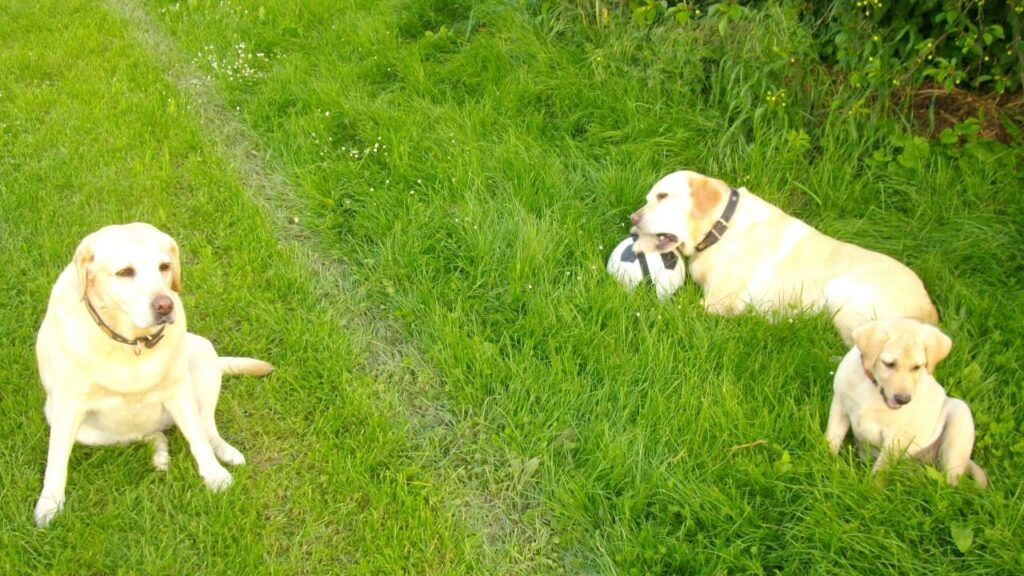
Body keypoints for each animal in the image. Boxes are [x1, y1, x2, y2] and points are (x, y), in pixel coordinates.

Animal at [823, 315, 983, 485]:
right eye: (889, 364)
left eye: (917, 367)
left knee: (951, 479)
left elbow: (880, 470)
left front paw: (871, 488)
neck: (873, 386)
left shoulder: (896, 438)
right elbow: (831, 439)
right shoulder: (840, 405)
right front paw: (827, 464)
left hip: (959, 419)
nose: (903, 399)